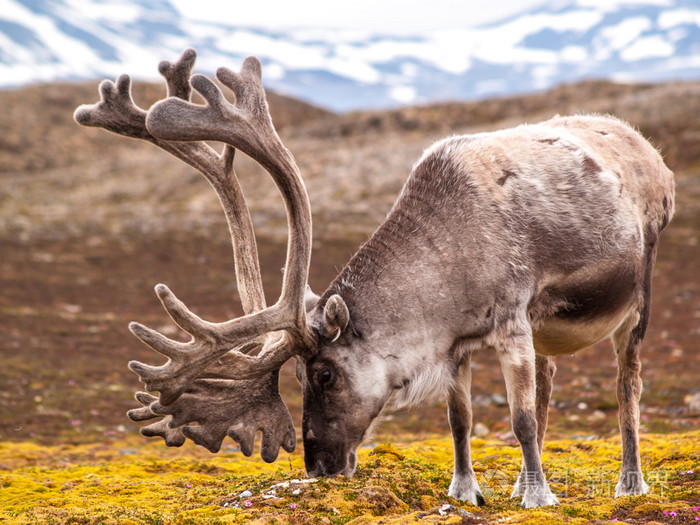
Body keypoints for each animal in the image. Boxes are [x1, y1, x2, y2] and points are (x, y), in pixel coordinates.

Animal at [74, 49, 674, 508]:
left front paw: (539, 498)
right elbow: (460, 420)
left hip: (636, 294)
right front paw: (467, 491)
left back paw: (629, 483)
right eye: (299, 376)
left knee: (627, 384)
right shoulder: (457, 344)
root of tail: (651, 152)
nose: (317, 466)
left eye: (323, 374)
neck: (447, 263)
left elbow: (520, 419)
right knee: (549, 378)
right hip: (549, 328)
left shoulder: (510, 322)